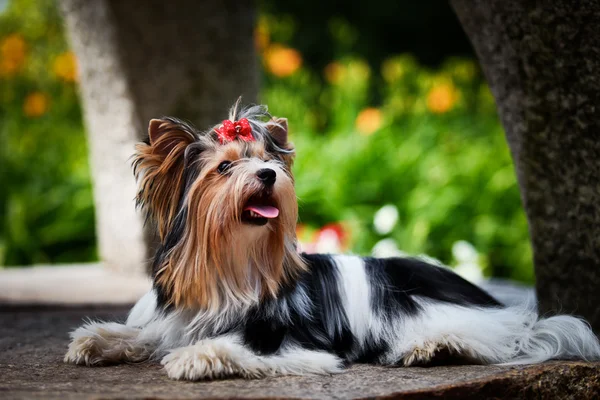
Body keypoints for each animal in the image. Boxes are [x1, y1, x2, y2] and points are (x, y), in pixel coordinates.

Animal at [64, 101, 600, 380]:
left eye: (269, 161)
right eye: (224, 168)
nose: (267, 174)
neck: (233, 262)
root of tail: (476, 290)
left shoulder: (296, 345)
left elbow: (241, 349)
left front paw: (199, 356)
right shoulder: (175, 317)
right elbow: (147, 333)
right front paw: (97, 339)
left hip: (427, 310)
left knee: (500, 338)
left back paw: (437, 347)